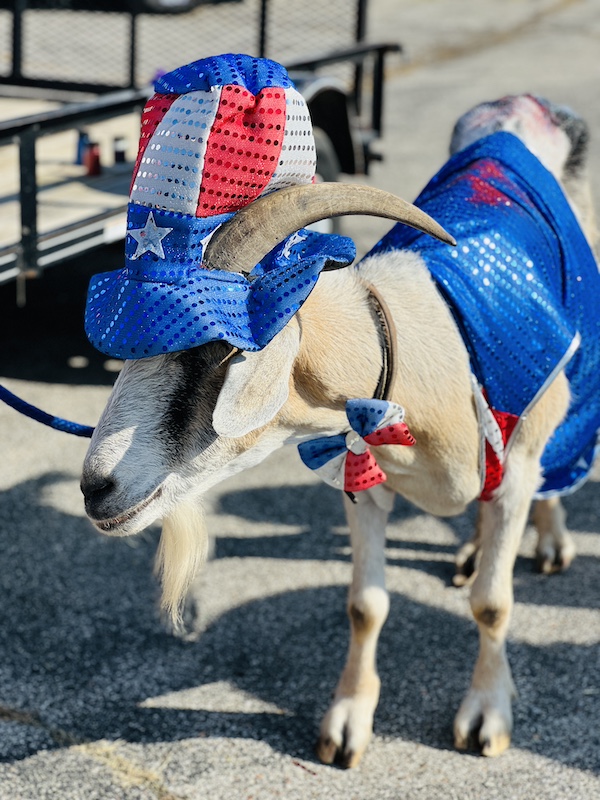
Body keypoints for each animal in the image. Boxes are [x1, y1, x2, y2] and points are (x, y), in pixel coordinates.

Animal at [82, 95, 596, 768]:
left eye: (220, 350)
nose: (96, 487)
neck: (419, 350)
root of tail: (521, 109)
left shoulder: (510, 473)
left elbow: (492, 603)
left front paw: (486, 716)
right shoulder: (364, 480)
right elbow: (364, 606)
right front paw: (347, 724)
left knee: (553, 465)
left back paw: (551, 540)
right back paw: (472, 550)